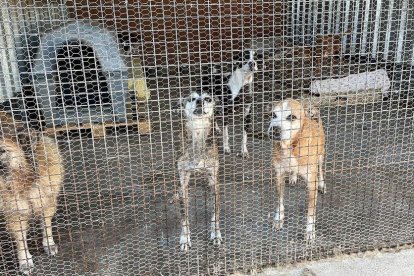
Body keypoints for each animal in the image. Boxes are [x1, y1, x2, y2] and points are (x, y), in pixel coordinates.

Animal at [0, 111, 63, 274]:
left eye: (2, 151)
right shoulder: (15, 213)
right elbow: (21, 239)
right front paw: (25, 261)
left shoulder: (46, 199)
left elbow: (46, 225)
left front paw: (48, 243)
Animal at [268, 99, 326, 242]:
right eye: (273, 115)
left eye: (291, 117)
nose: (274, 129)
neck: (291, 146)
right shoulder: (279, 175)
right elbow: (280, 200)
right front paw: (279, 218)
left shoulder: (311, 183)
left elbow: (311, 211)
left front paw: (310, 230)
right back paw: (293, 176)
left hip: (321, 153)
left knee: (320, 168)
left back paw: (322, 184)